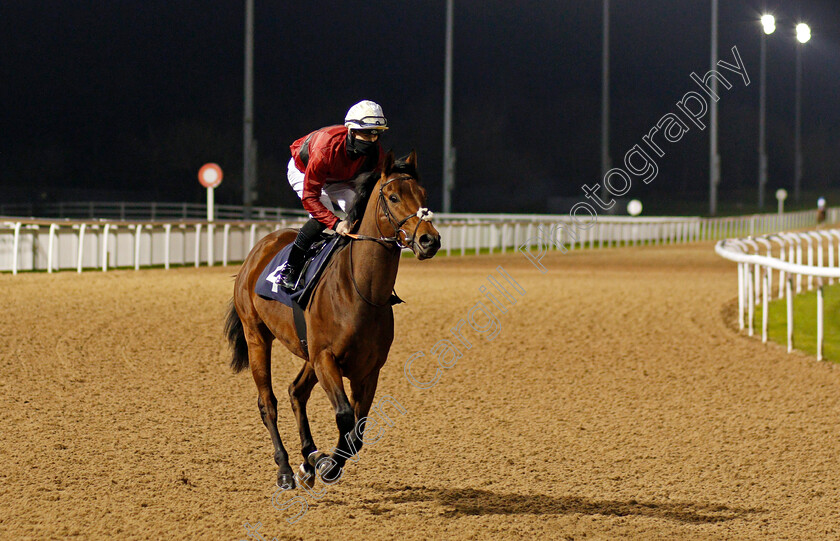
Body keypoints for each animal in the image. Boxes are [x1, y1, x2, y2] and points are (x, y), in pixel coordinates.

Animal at [226, 150, 442, 488]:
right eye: (393, 196)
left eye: (424, 195)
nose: (429, 240)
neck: (360, 291)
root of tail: (256, 252)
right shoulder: (326, 357)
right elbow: (344, 416)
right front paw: (326, 464)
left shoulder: (368, 369)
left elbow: (358, 431)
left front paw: (322, 462)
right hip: (257, 336)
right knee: (268, 403)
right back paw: (285, 468)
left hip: (307, 351)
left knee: (296, 392)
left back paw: (309, 457)